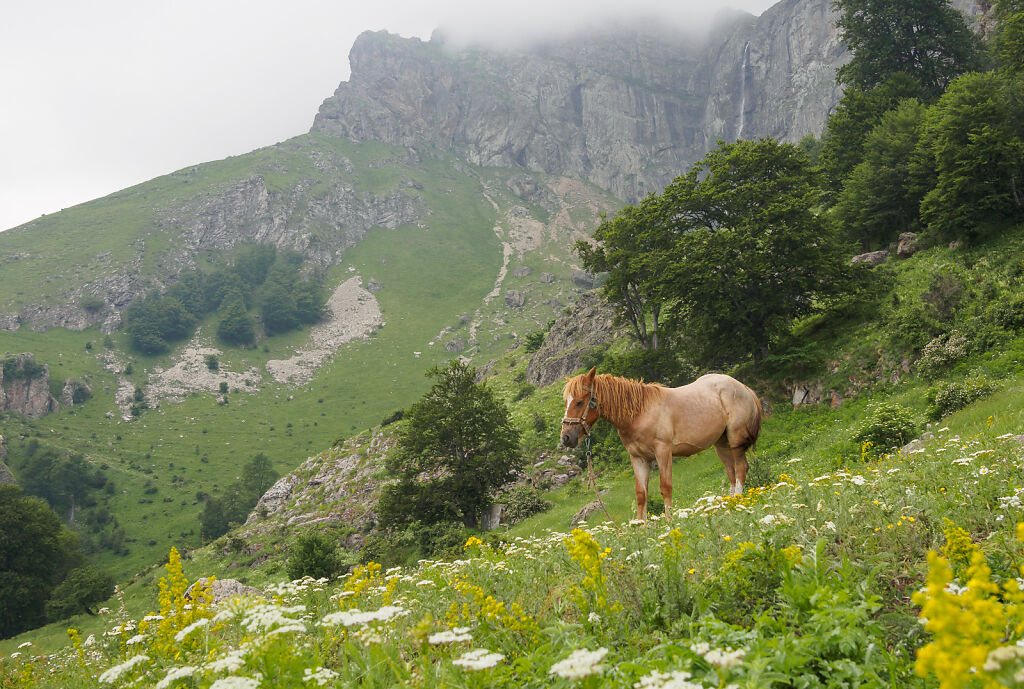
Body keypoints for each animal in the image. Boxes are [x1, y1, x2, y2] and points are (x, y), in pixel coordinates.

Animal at [561, 364, 761, 522]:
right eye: (566, 401)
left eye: (579, 402)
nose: (566, 438)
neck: (639, 413)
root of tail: (743, 387)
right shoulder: (638, 458)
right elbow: (641, 494)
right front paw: (640, 530)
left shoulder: (663, 452)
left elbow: (666, 488)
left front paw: (670, 523)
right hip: (721, 444)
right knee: (731, 472)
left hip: (735, 440)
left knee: (741, 468)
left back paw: (738, 504)